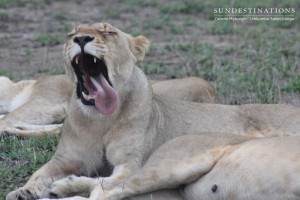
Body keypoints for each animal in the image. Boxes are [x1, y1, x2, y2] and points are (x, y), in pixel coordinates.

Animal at [5, 22, 300, 199]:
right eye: (71, 34)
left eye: (109, 32)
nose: (81, 38)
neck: (101, 119)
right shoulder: (66, 159)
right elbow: (40, 172)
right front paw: (24, 191)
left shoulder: (130, 163)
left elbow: (110, 181)